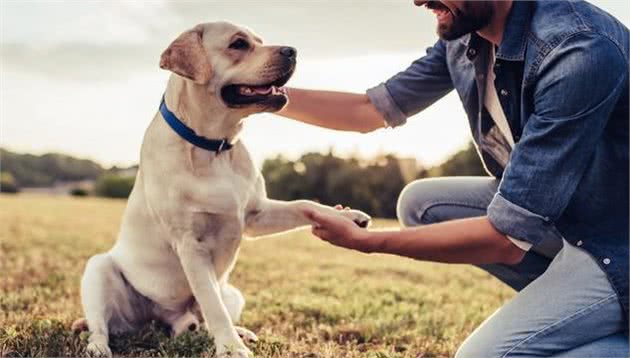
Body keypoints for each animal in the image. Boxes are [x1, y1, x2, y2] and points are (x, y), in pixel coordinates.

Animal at [71, 23, 372, 358]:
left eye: (260, 41)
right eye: (238, 44)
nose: (293, 51)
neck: (215, 147)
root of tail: (164, 319)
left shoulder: (255, 214)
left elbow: (305, 203)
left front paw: (346, 217)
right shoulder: (190, 243)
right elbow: (213, 305)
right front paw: (231, 348)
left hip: (234, 293)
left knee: (200, 319)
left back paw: (236, 331)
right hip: (98, 270)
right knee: (101, 325)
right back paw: (98, 347)